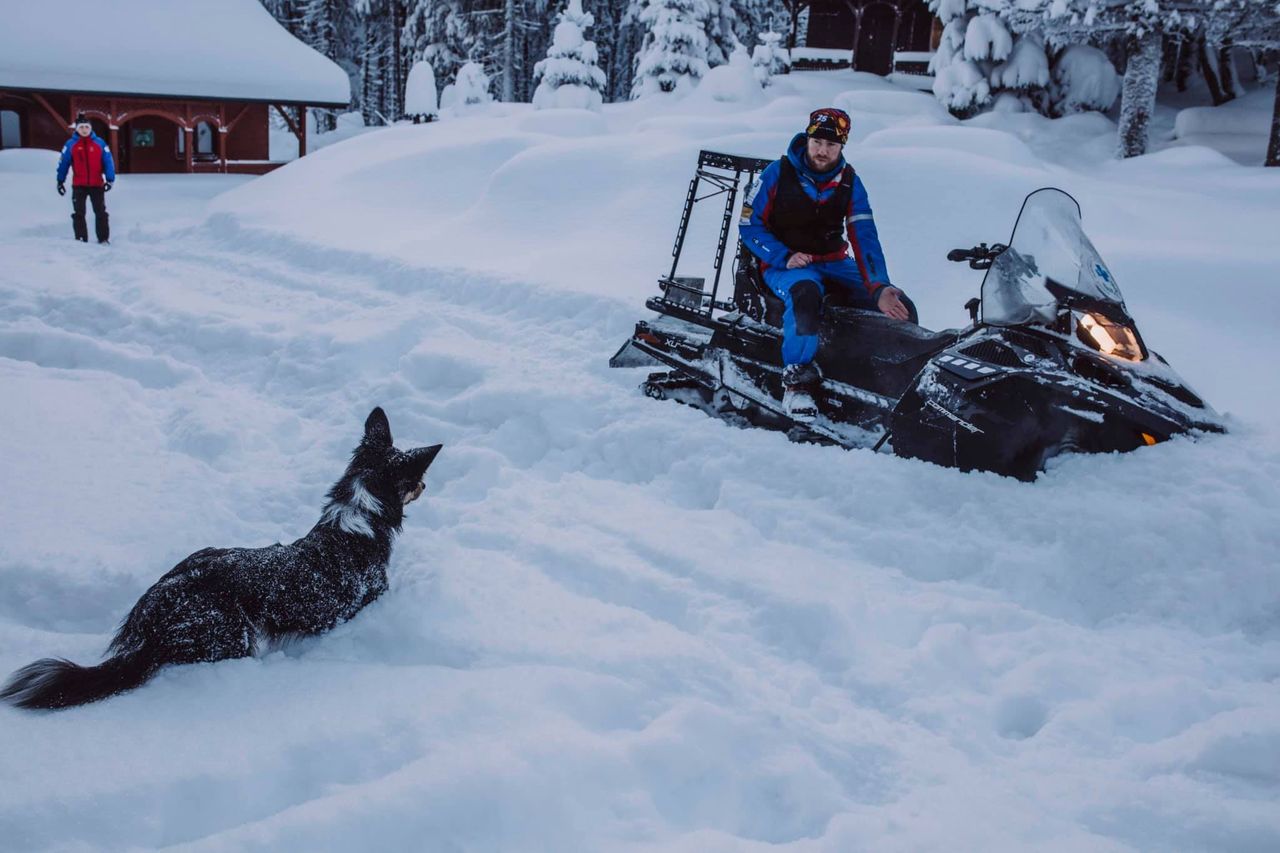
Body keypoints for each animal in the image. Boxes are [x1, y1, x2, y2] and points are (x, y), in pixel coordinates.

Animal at [1, 404, 440, 701]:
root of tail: (148, 625)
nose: (426, 487)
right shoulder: (367, 598)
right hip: (230, 631)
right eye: (417, 479)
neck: (358, 513)